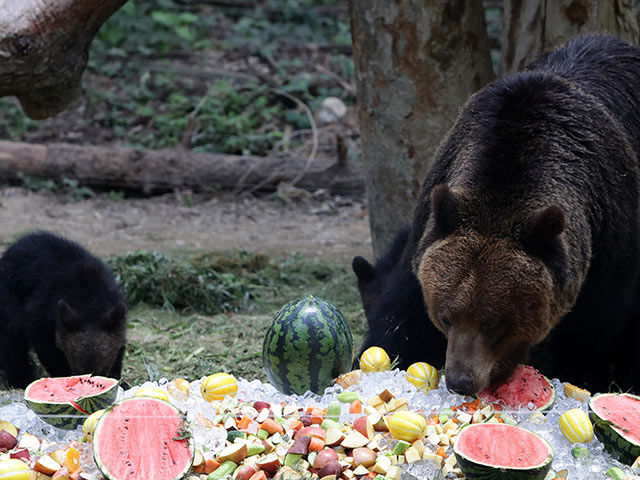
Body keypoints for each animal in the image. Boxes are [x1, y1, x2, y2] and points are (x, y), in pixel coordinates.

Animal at [0, 231, 127, 388]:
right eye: (77, 370)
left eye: (103, 370)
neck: (89, 299)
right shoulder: (42, 314)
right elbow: (46, 348)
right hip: (8, 297)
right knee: (12, 338)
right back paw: (21, 378)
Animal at [352, 32, 640, 394]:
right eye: (445, 316)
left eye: (493, 322)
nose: (461, 380)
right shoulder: (433, 217)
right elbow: (402, 314)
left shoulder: (611, 238)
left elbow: (594, 330)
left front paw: (584, 376)